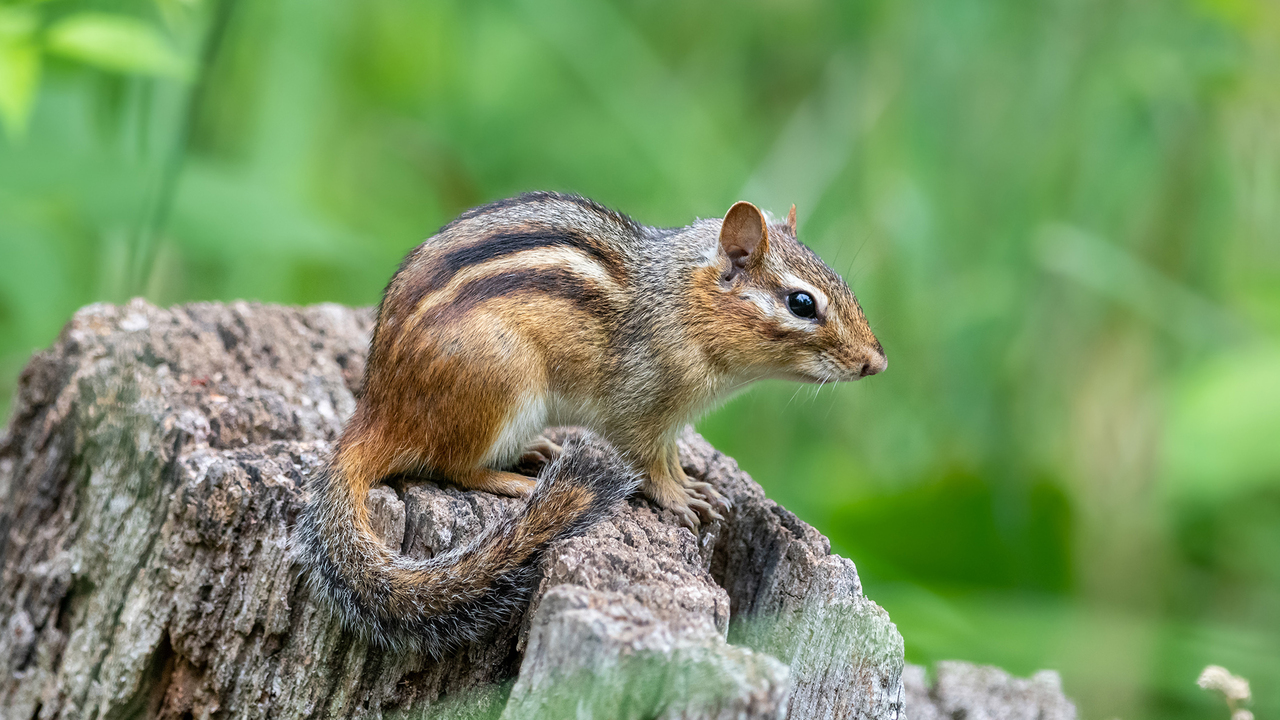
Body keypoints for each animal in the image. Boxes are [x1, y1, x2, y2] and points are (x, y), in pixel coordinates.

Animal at [296, 191, 886, 656]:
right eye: (802, 303)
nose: (876, 363)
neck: (679, 303)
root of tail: (375, 412)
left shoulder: (670, 423)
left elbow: (670, 458)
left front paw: (696, 487)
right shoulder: (640, 410)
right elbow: (648, 465)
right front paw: (679, 499)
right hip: (500, 386)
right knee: (453, 467)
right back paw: (516, 481)